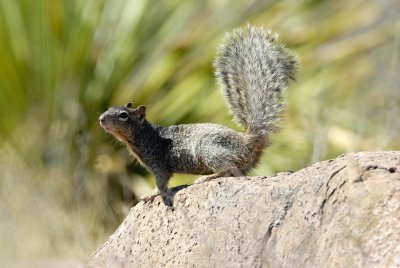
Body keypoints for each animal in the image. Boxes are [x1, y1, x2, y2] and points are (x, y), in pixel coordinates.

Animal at [99, 25, 296, 205]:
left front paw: (150, 194)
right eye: (109, 108)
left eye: (123, 115)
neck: (144, 136)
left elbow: (161, 183)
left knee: (227, 168)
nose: (101, 119)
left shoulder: (159, 163)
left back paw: (206, 178)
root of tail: (248, 142)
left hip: (209, 149)